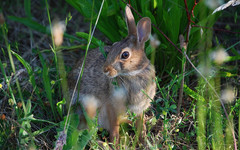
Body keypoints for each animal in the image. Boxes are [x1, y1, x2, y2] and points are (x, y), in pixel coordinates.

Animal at [68, 4, 157, 144]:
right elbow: (114, 125)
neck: (133, 73)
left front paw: (143, 140)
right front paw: (116, 142)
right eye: (113, 46)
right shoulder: (112, 106)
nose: (105, 69)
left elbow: (140, 123)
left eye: (125, 54)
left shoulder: (140, 108)